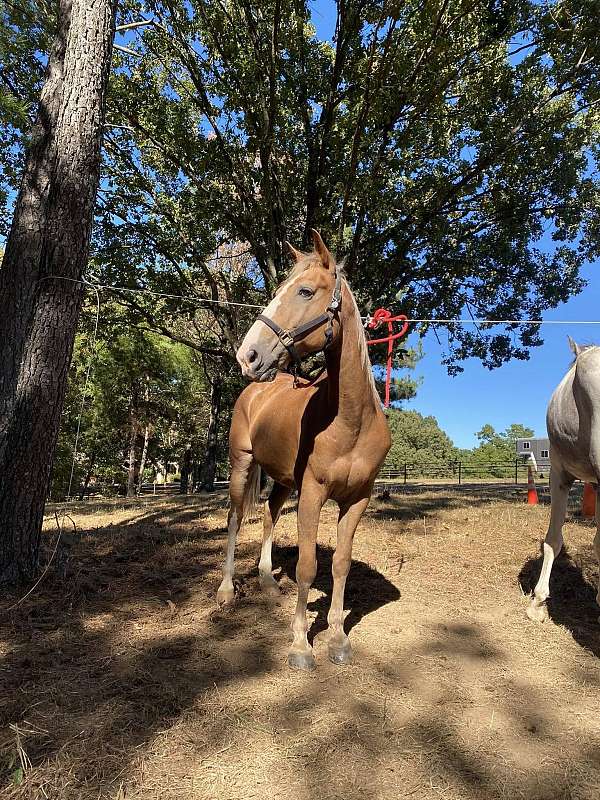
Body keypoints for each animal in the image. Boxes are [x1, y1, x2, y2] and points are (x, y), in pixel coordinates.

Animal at [216, 230, 391, 670]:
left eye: (305, 291)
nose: (248, 355)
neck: (351, 421)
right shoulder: (312, 493)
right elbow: (308, 567)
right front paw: (300, 643)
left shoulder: (357, 498)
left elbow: (341, 564)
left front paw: (338, 638)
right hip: (242, 465)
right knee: (234, 518)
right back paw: (226, 590)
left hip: (282, 480)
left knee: (267, 517)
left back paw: (266, 582)